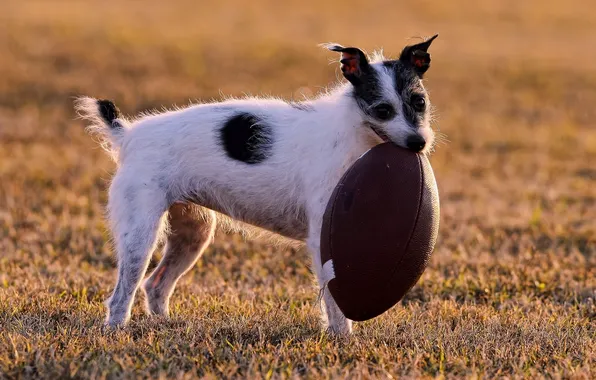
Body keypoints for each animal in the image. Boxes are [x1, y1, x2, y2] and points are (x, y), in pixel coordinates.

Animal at [74, 34, 438, 334]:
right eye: (382, 110)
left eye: (419, 102)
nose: (419, 143)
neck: (353, 130)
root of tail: (128, 134)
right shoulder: (324, 241)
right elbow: (335, 304)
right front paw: (341, 338)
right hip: (140, 236)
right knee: (123, 294)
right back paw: (116, 331)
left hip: (193, 234)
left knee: (155, 285)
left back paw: (164, 324)